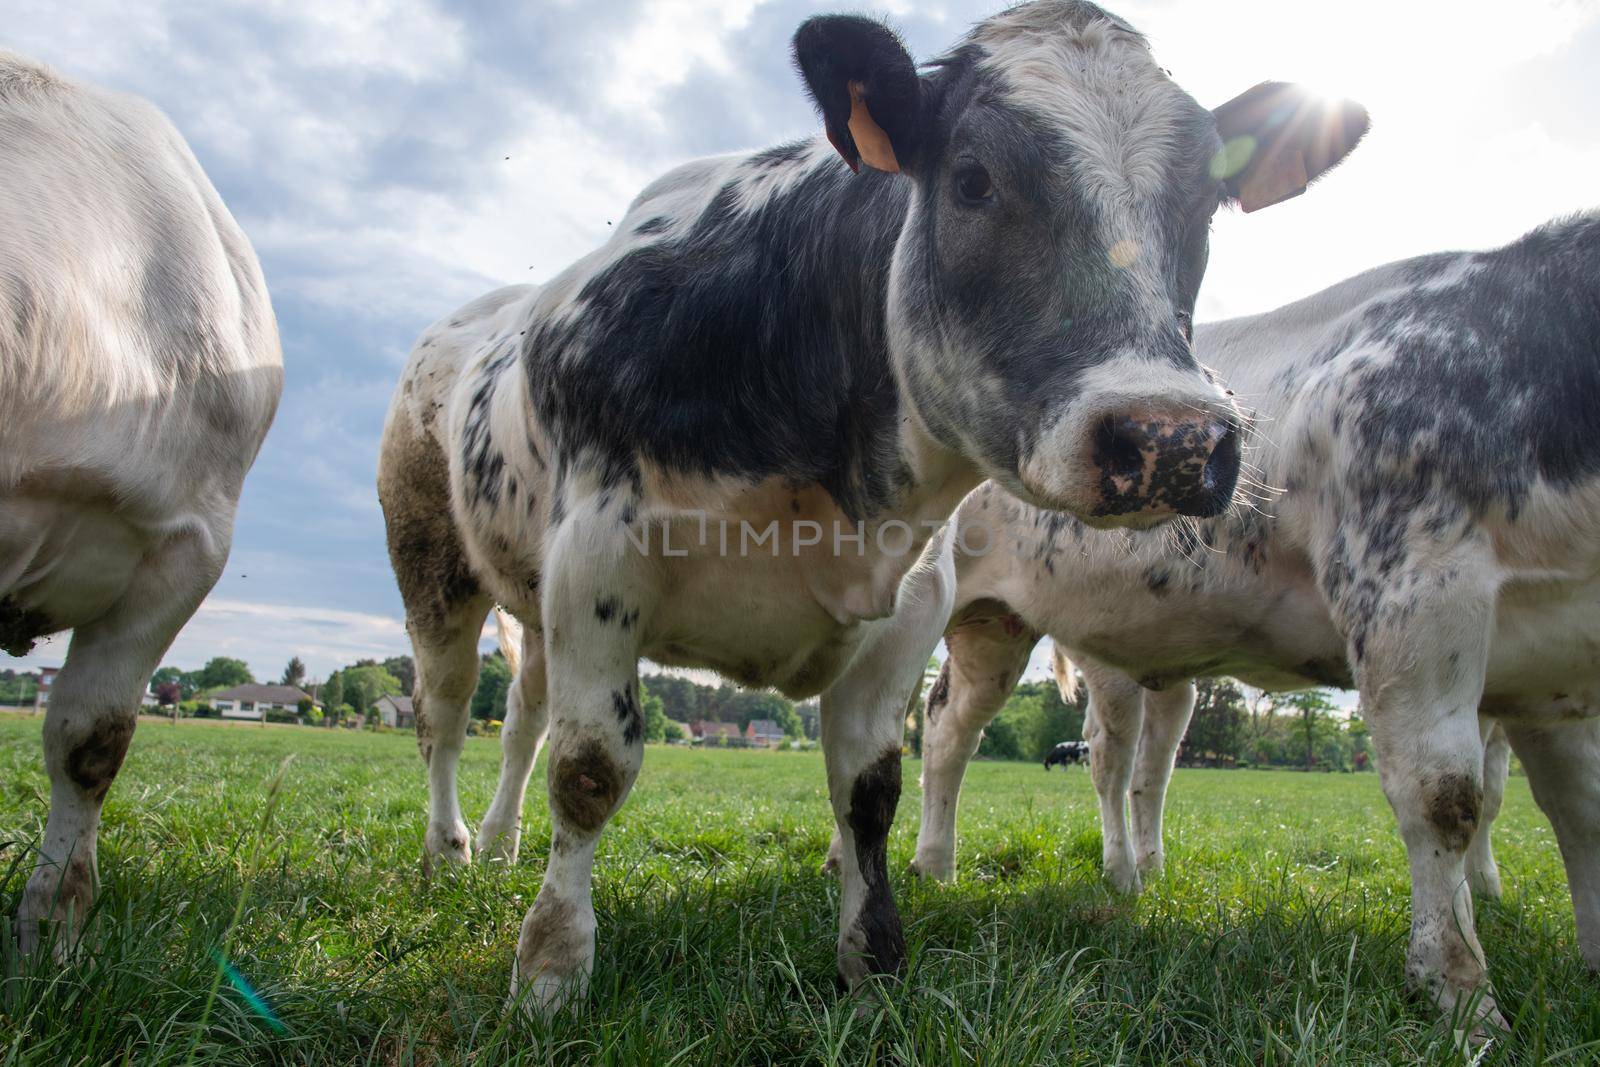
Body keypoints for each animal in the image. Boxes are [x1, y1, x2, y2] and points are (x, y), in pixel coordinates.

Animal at [377, 2, 1363, 1017]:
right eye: (971, 180)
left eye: (1205, 203)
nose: (1173, 439)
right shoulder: (597, 559)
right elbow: (591, 767)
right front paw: (551, 970)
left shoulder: (912, 601)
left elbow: (871, 787)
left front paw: (872, 961)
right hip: (431, 562)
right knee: (445, 710)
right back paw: (452, 848)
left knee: (520, 716)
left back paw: (501, 842)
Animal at [915, 212, 1600, 1030]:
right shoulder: (1412, 588)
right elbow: (1444, 799)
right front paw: (1461, 997)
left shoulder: (1552, 668)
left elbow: (1581, 810)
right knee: (981, 739)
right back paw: (959, 867)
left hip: (1021, 633)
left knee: (1080, 755)